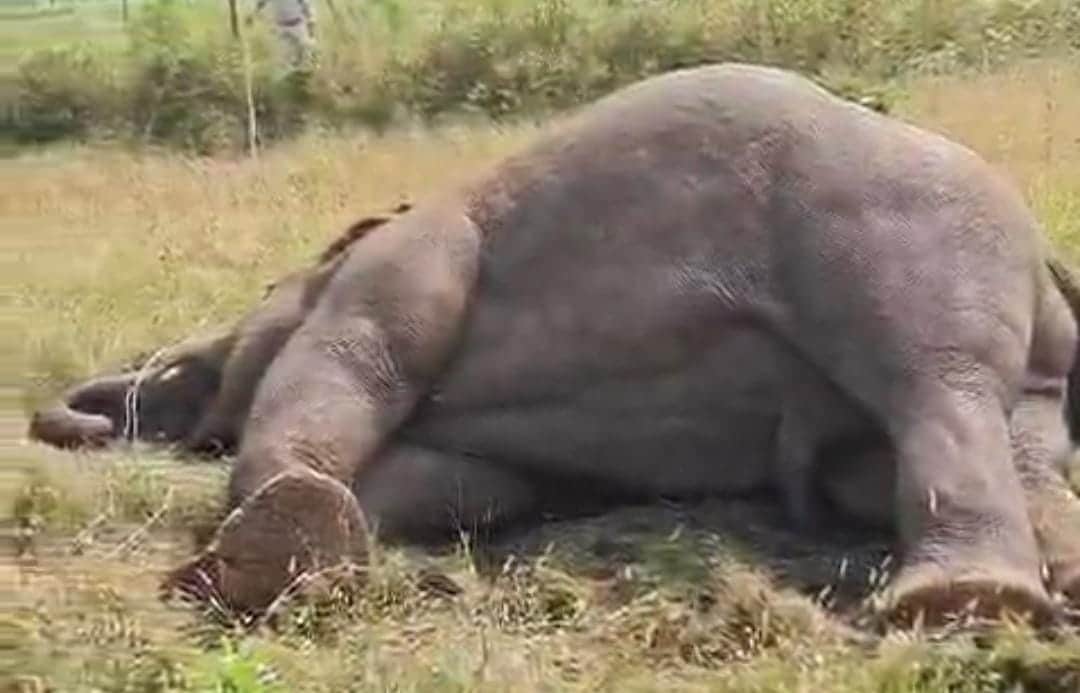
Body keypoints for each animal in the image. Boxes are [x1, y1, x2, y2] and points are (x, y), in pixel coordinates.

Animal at [29, 63, 1080, 627]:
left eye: (197, 365)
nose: (70, 413)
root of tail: (1045, 260)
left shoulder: (414, 249)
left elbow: (362, 348)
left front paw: (268, 560)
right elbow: (458, 482)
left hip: (904, 229)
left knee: (935, 374)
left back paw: (961, 606)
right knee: (1002, 430)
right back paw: (1048, 580)